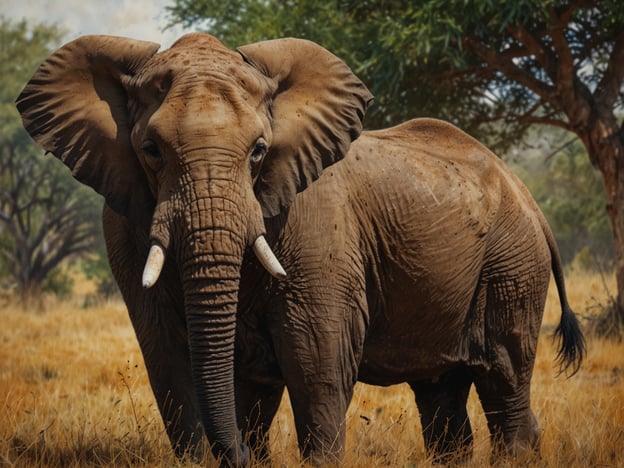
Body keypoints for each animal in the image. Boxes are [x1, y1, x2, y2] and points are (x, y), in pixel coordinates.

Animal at [18, 32, 584, 464]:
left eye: (259, 152)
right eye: (151, 151)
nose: (240, 455)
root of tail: (525, 192)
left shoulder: (319, 232)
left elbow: (316, 363)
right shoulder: (125, 225)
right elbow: (172, 362)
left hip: (512, 266)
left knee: (503, 378)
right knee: (443, 400)